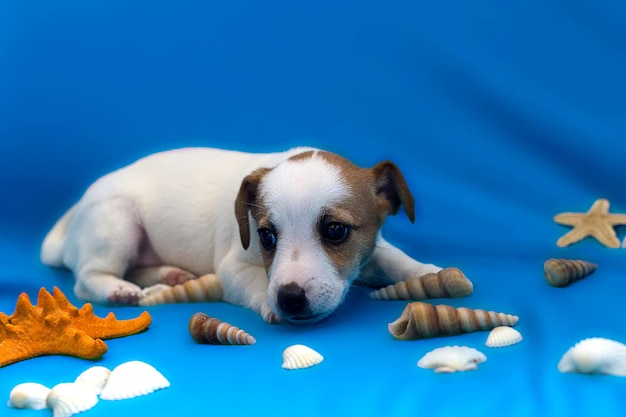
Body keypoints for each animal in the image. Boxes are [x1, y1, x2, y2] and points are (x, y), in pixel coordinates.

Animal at [40, 148, 438, 324]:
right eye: (266, 236)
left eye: (336, 231)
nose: (289, 299)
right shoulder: (232, 267)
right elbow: (254, 282)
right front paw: (269, 303)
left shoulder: (373, 245)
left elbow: (392, 257)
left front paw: (427, 273)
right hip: (116, 221)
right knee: (86, 278)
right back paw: (117, 290)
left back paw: (170, 275)